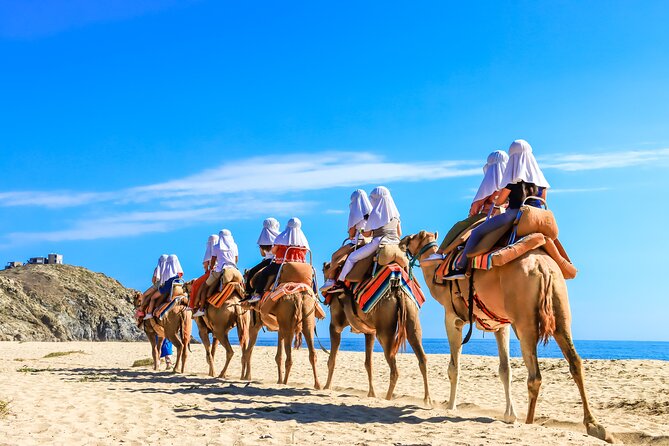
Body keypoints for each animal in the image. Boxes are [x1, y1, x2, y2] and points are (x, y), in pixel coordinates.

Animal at [401, 231, 613, 442]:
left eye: (412, 237)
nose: (402, 242)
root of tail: (542, 267)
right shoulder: (500, 325)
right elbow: (505, 370)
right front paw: (510, 415)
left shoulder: (453, 318)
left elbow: (454, 368)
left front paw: (451, 407)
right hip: (560, 307)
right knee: (575, 361)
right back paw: (595, 426)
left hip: (525, 319)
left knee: (535, 375)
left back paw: (530, 422)